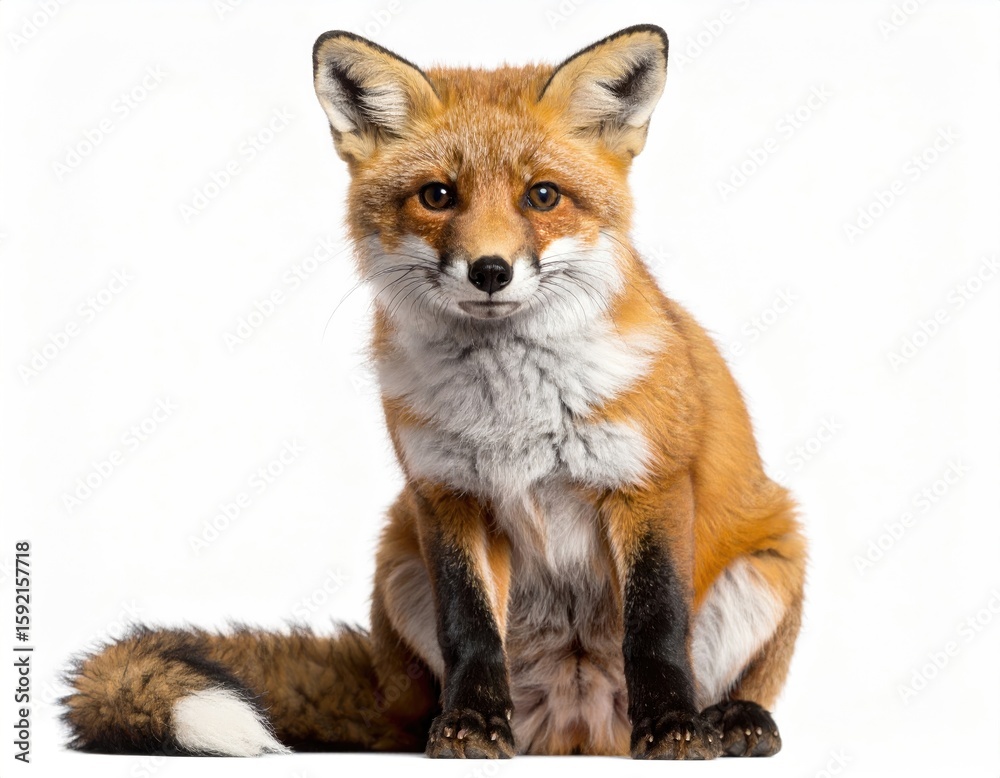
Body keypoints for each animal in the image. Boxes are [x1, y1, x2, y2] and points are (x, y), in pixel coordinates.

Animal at [61, 24, 806, 760]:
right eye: (438, 196)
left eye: (542, 196)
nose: (490, 271)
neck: (515, 410)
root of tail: (577, 731)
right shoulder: (447, 493)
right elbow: (469, 627)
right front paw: (471, 724)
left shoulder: (647, 484)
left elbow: (655, 626)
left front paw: (674, 726)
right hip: (398, 567)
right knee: (431, 695)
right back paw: (446, 727)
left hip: (768, 567)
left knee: (736, 678)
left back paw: (733, 720)